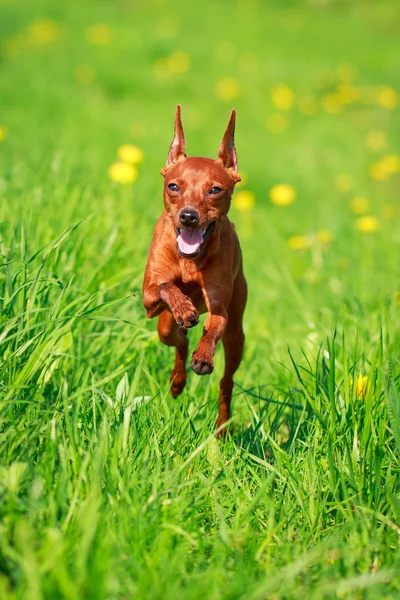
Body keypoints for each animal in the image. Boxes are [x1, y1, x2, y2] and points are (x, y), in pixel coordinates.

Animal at [142, 105, 245, 434]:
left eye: (215, 190)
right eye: (174, 186)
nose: (188, 216)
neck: (189, 260)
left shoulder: (219, 310)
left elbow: (211, 332)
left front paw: (203, 356)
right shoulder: (148, 298)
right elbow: (166, 286)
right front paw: (184, 307)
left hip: (237, 336)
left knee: (226, 382)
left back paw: (222, 427)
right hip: (163, 327)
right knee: (179, 340)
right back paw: (177, 381)